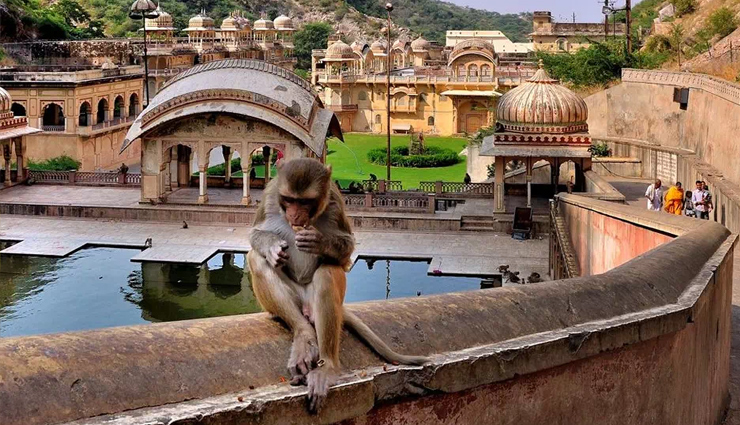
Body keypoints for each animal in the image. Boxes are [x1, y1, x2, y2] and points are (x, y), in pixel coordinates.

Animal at [247, 158, 428, 410]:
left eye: (305, 202)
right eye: (290, 200)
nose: (295, 215)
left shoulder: (334, 201)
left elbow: (346, 247)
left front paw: (319, 242)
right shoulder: (270, 195)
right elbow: (255, 234)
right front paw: (273, 245)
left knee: (327, 273)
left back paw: (328, 367)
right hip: (289, 300)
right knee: (256, 259)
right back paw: (304, 335)